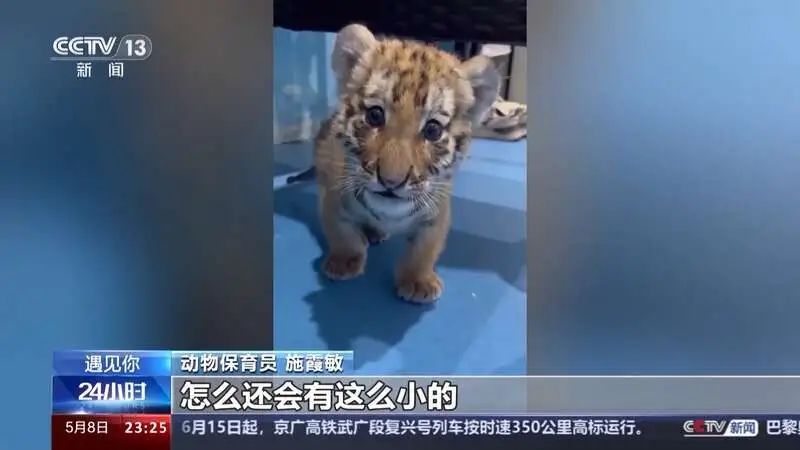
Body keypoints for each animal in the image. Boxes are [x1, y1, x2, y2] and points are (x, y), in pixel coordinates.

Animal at [312, 24, 500, 303]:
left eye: (432, 130)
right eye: (375, 115)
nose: (391, 181)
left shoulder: (438, 213)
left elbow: (425, 249)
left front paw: (418, 281)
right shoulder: (333, 197)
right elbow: (341, 232)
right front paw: (344, 262)